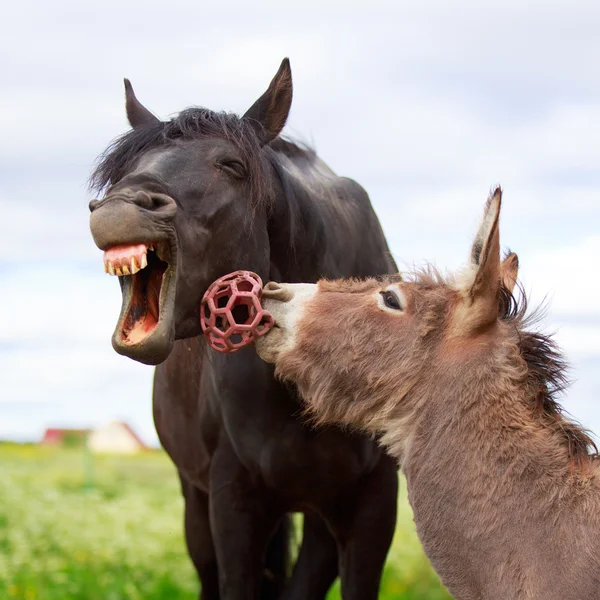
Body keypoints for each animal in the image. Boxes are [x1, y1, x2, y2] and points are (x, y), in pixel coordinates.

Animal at [89, 57, 398, 600]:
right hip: (196, 501)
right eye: (121, 171)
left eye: (232, 165)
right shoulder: (232, 501)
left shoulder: (373, 505)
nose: (119, 208)